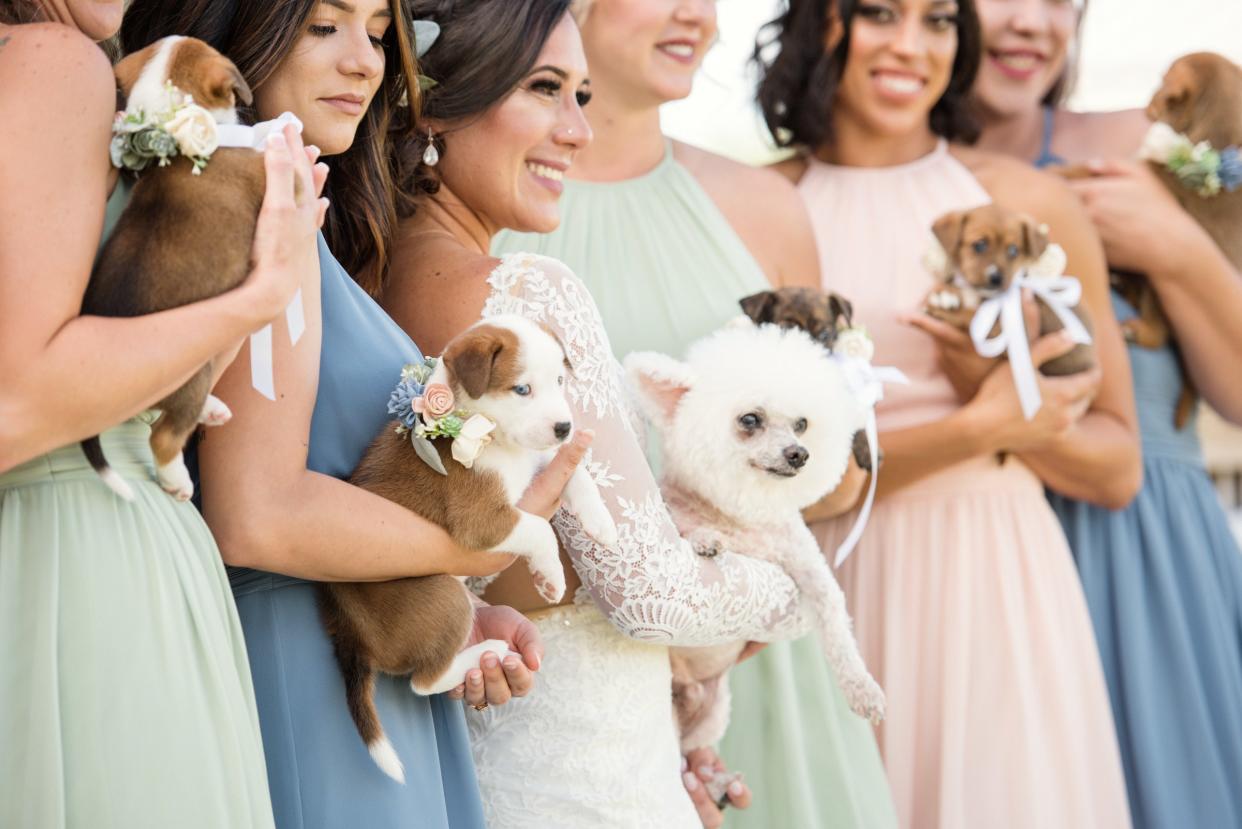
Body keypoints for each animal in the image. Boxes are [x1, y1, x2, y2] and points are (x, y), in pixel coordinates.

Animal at [315, 313, 616, 785]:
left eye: (559, 381)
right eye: (522, 389)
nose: (564, 428)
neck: (482, 426)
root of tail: (349, 633)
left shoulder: (536, 459)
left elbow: (574, 471)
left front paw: (601, 522)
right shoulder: (484, 521)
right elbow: (539, 529)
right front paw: (549, 576)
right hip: (442, 593)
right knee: (423, 682)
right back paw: (482, 652)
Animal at [630, 320, 884, 755]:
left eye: (801, 424)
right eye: (750, 420)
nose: (800, 453)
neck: (740, 515)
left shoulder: (808, 568)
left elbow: (836, 623)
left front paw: (862, 688)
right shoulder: (673, 516)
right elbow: (685, 527)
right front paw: (705, 538)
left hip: (712, 715)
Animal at [924, 203, 1097, 375]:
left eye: (1013, 250)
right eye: (979, 245)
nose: (996, 278)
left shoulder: (1014, 331)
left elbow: (972, 315)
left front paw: (944, 307)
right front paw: (946, 293)